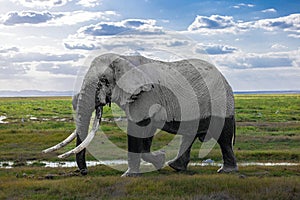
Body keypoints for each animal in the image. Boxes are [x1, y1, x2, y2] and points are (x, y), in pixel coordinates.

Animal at [43, 52, 238, 175]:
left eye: (104, 81)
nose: (83, 172)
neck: (124, 59)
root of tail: (227, 81)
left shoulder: (147, 95)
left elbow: (138, 128)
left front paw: (129, 175)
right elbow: (146, 132)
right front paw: (159, 161)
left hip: (221, 102)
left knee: (223, 136)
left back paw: (226, 171)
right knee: (190, 134)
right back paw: (176, 167)